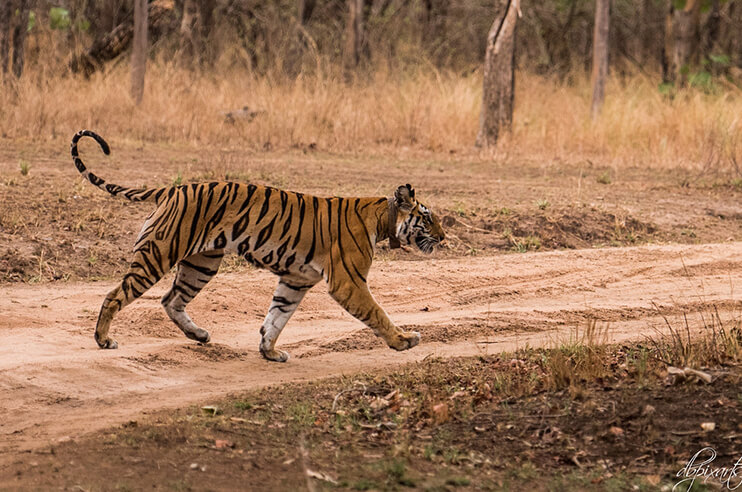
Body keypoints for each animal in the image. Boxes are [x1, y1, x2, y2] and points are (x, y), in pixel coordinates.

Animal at [71, 130, 448, 362]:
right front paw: (403, 341)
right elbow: (377, 312)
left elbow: (277, 316)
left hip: (202, 263)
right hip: (159, 253)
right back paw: (103, 340)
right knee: (115, 295)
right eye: (427, 218)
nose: (445, 238)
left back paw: (200, 335)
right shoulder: (348, 282)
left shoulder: (296, 280)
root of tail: (172, 189)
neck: (382, 218)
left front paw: (270, 351)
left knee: (171, 299)